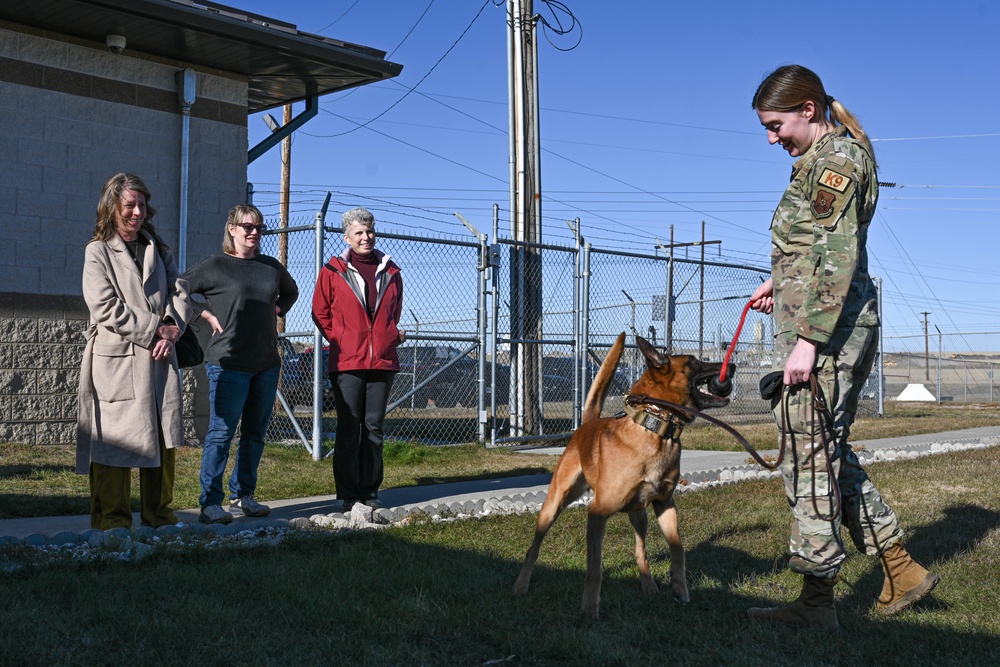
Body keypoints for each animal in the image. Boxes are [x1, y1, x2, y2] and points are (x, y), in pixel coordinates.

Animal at [512, 334, 732, 620]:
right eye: (694, 361)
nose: (733, 366)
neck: (656, 428)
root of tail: (586, 425)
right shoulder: (597, 513)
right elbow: (594, 568)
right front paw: (589, 608)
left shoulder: (665, 504)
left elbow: (678, 548)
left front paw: (679, 586)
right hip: (554, 504)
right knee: (534, 547)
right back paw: (521, 584)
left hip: (640, 515)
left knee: (641, 551)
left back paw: (649, 585)